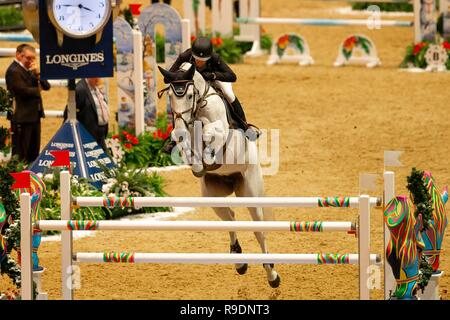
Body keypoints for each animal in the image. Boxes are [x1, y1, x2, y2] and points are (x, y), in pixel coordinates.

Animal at [157, 62, 278, 288]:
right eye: (169, 96)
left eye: (189, 96)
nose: (180, 126)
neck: (198, 107)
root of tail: (232, 184)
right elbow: (185, 141)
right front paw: (197, 164)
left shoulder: (219, 129)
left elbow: (210, 131)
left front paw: (208, 155)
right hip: (213, 196)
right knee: (230, 217)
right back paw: (239, 261)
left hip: (249, 190)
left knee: (258, 230)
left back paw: (272, 274)